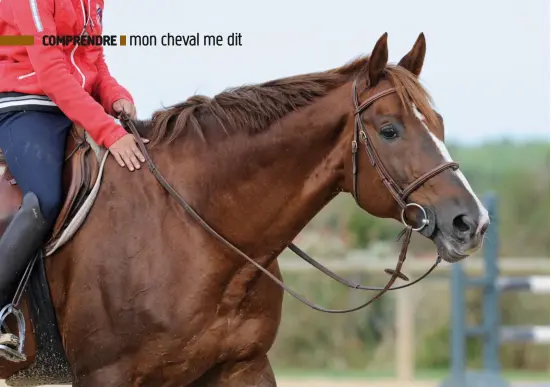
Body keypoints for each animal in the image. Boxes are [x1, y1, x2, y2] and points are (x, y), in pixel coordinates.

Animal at [0, 33, 492, 387]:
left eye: (439, 124)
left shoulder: (243, 365)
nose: (471, 223)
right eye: (390, 130)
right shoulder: (108, 375)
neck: (189, 226)